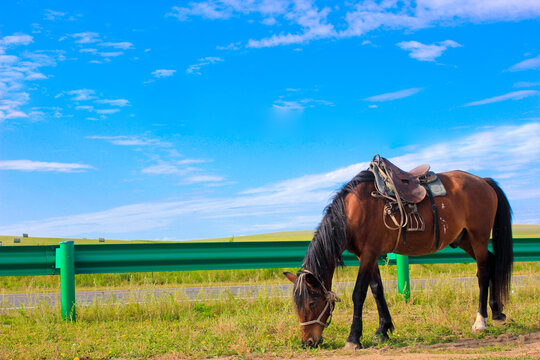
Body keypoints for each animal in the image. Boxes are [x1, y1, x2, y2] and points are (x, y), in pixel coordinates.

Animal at [284, 166, 512, 348]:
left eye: (311, 304)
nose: (308, 342)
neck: (352, 213)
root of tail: (483, 180)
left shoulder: (368, 254)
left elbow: (359, 294)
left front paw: (354, 338)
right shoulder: (368, 255)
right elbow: (377, 290)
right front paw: (382, 331)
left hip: (478, 236)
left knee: (483, 272)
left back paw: (480, 321)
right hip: (464, 238)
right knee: (492, 262)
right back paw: (497, 312)